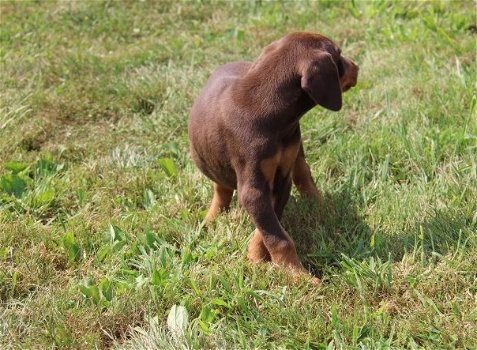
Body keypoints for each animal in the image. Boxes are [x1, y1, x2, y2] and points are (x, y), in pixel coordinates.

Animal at [189, 32, 356, 278]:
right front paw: (296, 274)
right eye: (339, 55)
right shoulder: (255, 187)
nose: (356, 66)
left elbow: (271, 225)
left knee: (303, 171)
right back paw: (211, 217)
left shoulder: (281, 179)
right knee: (221, 188)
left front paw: (257, 256)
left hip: (295, 149)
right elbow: (276, 233)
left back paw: (319, 205)